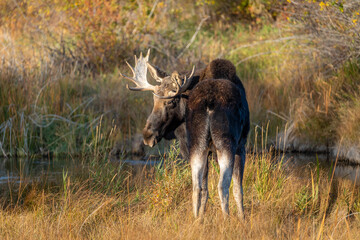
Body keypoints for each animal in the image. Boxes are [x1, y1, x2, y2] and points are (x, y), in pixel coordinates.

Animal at [119, 49, 249, 220]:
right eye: (154, 100)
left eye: (170, 102)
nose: (147, 134)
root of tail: (209, 101)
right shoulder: (241, 146)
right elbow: (238, 190)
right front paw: (242, 218)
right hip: (226, 143)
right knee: (223, 186)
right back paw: (226, 219)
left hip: (197, 145)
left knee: (197, 187)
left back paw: (197, 220)